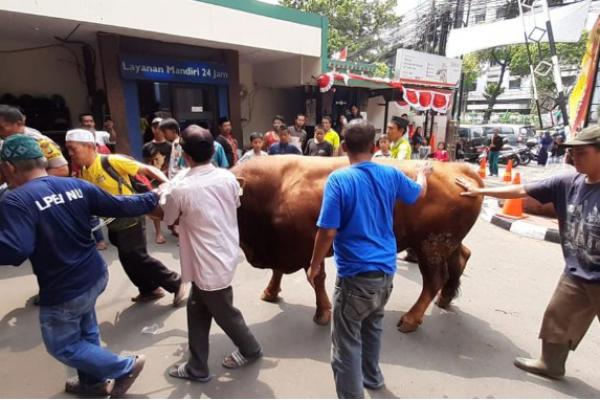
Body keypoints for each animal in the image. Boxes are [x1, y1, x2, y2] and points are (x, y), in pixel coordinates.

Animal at [230, 155, 482, 332]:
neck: (276, 188)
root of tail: (457, 168)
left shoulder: (311, 246)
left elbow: (316, 278)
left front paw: (322, 313)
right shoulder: (283, 247)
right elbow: (278, 271)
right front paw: (270, 292)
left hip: (430, 247)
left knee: (434, 280)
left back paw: (410, 319)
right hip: (447, 244)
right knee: (461, 259)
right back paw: (444, 300)